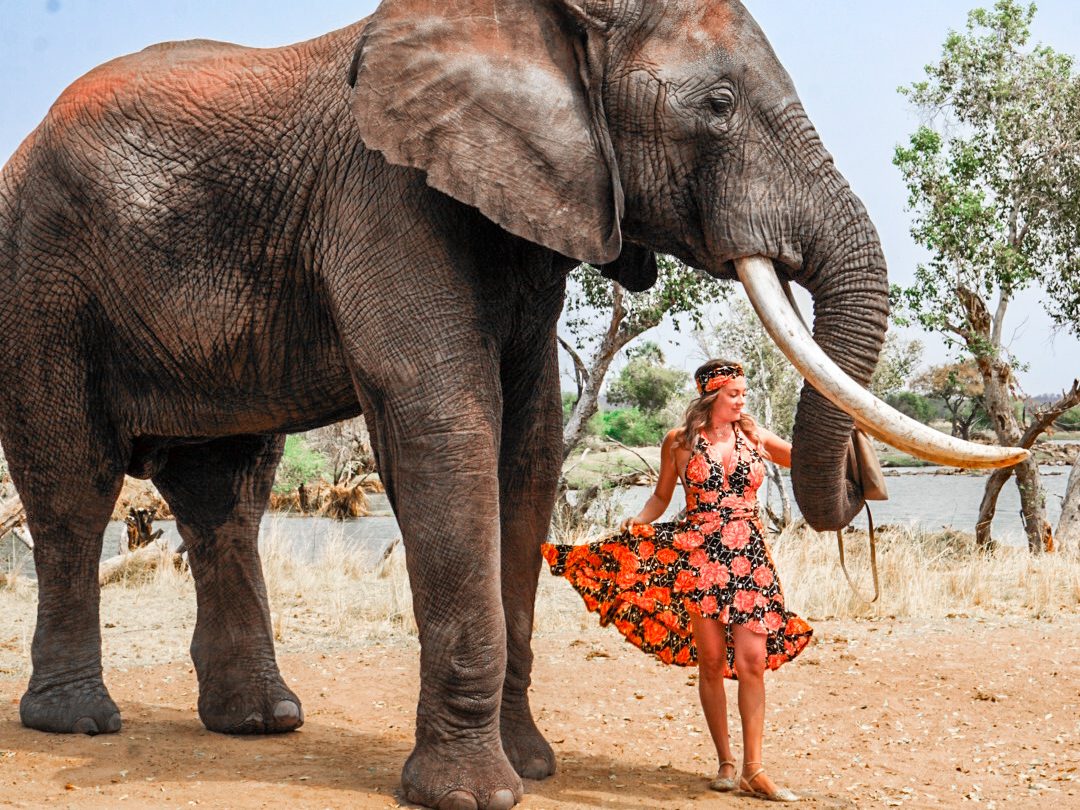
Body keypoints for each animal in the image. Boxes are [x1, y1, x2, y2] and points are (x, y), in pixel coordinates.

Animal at [0, 1, 1024, 808]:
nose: (865, 475)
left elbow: (528, 451)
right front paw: (473, 795)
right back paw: (78, 723)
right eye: (718, 108)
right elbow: (447, 429)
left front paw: (532, 768)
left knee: (228, 496)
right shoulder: (386, 199)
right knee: (73, 488)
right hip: (42, 279)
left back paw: (262, 722)